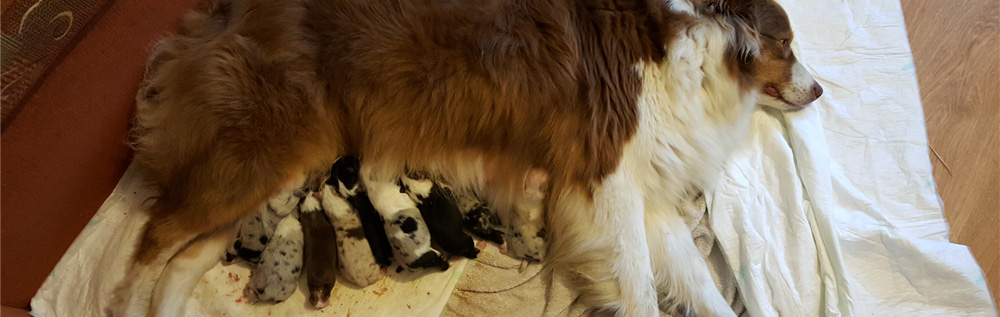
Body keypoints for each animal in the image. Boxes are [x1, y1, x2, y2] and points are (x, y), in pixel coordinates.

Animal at [115, 0, 820, 314]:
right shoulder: (608, 184)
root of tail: (216, 17)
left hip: (281, 169)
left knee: (179, 264)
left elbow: (698, 284)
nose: (819, 91)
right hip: (252, 158)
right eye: (786, 45)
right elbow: (643, 288)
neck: (695, 53)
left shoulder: (642, 196)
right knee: (147, 248)